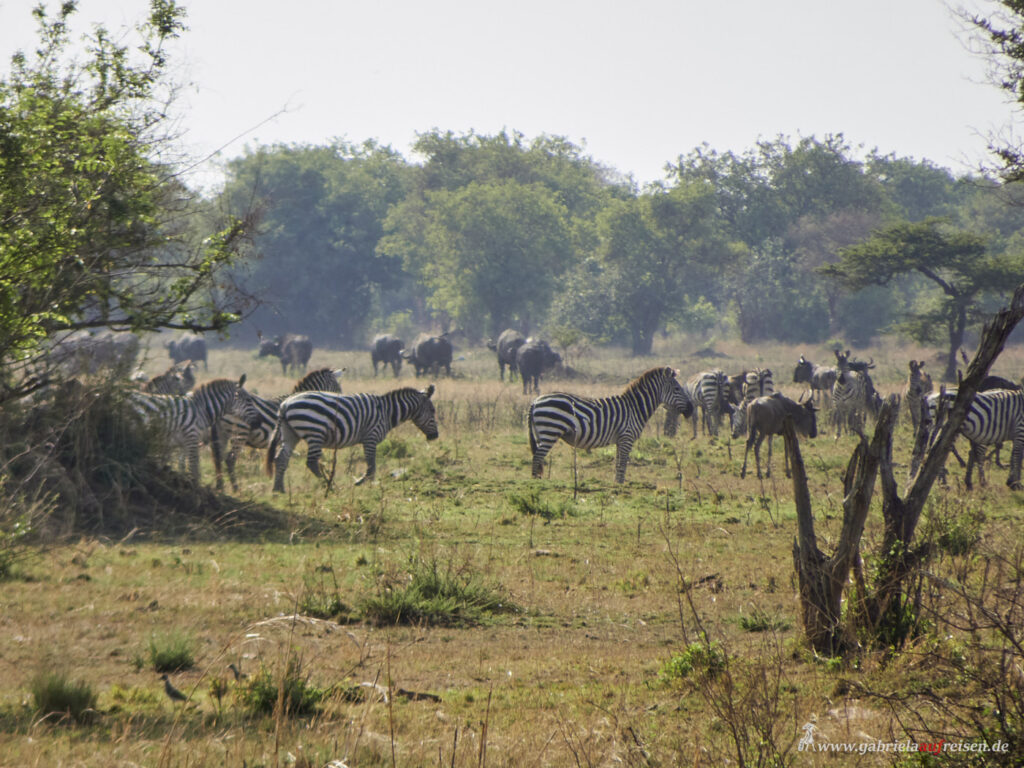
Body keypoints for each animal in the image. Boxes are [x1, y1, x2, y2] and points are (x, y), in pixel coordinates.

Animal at [264, 385, 436, 493]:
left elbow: (371, 465)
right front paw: (363, 483)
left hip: (290, 433)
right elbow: (371, 465)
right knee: (311, 462)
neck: (387, 412)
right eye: (433, 411)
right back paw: (329, 485)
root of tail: (285, 405)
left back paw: (278, 489)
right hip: (315, 432)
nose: (435, 436)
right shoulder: (371, 437)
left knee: (281, 458)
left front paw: (366, 483)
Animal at [528, 364, 696, 483]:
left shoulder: (620, 440)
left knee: (537, 457)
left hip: (542, 434)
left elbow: (617, 464)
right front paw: (620, 487)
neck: (635, 408)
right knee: (537, 458)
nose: (691, 409)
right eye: (677, 388)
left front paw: (616, 485)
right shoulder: (627, 438)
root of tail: (536, 401)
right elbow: (622, 465)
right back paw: (536, 483)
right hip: (550, 431)